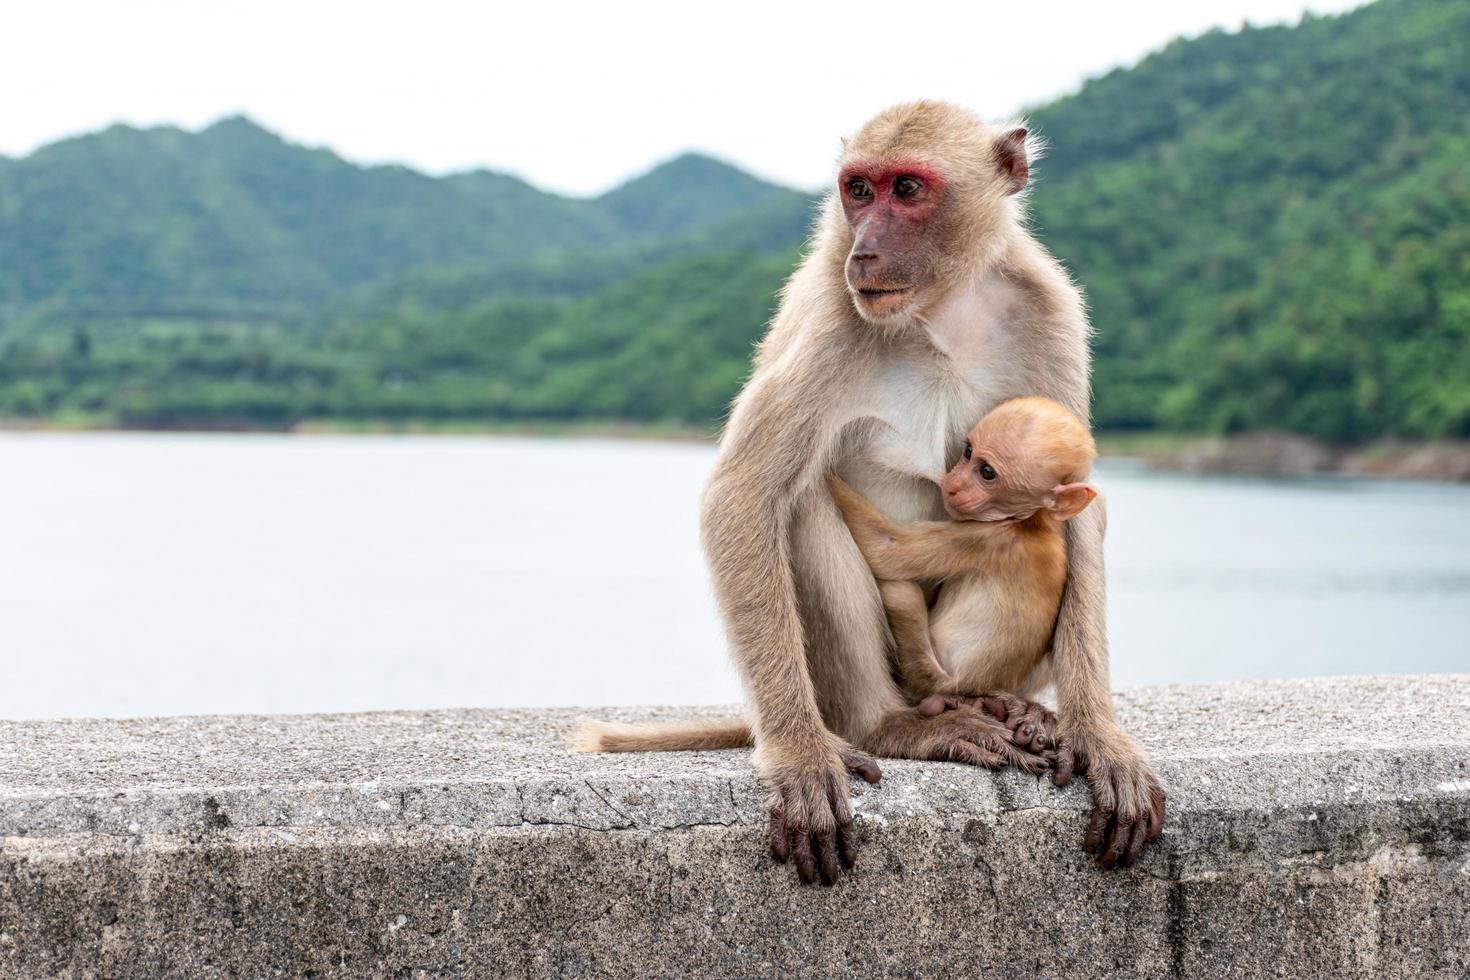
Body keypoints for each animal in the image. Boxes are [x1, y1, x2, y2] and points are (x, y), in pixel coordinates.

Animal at [834, 396, 1099, 775]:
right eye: (968, 452)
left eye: (987, 472)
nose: (953, 482)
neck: (1031, 521)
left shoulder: (982, 538)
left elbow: (885, 547)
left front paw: (823, 478)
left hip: (925, 676)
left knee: (900, 592)